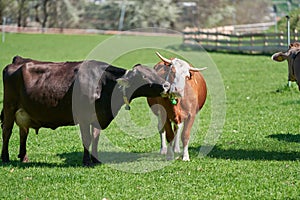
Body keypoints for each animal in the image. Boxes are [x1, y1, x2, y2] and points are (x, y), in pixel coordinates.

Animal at [1, 55, 171, 166]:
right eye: (144, 76)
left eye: (154, 72)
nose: (167, 85)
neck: (103, 84)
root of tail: (19, 60)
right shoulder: (83, 118)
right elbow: (87, 139)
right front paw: (87, 161)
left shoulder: (98, 118)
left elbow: (95, 138)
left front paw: (96, 159)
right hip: (9, 107)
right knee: (7, 131)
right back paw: (5, 157)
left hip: (24, 112)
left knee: (23, 132)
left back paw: (23, 157)